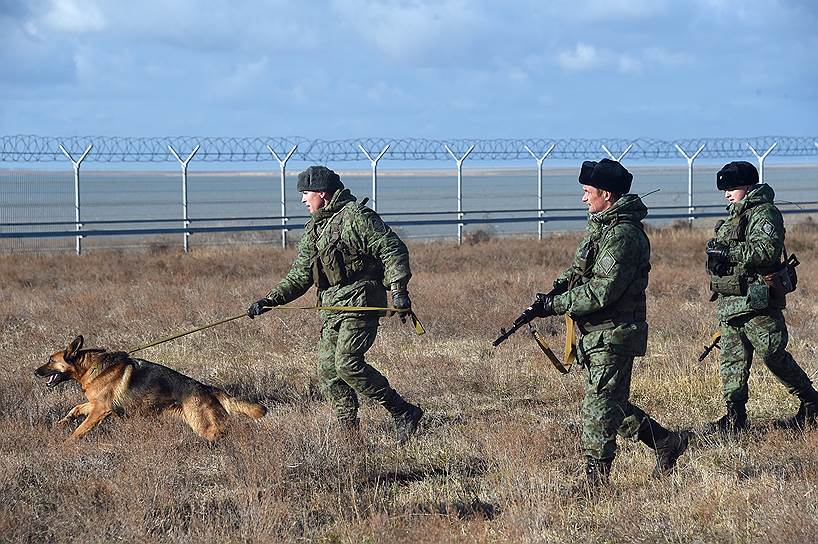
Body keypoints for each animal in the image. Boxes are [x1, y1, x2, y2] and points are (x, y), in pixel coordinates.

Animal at [35, 336, 266, 442]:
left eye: (50, 360)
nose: (35, 371)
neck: (90, 366)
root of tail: (208, 389)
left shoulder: (101, 410)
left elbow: (80, 430)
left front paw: (66, 444)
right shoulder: (96, 405)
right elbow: (75, 408)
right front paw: (63, 422)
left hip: (205, 428)